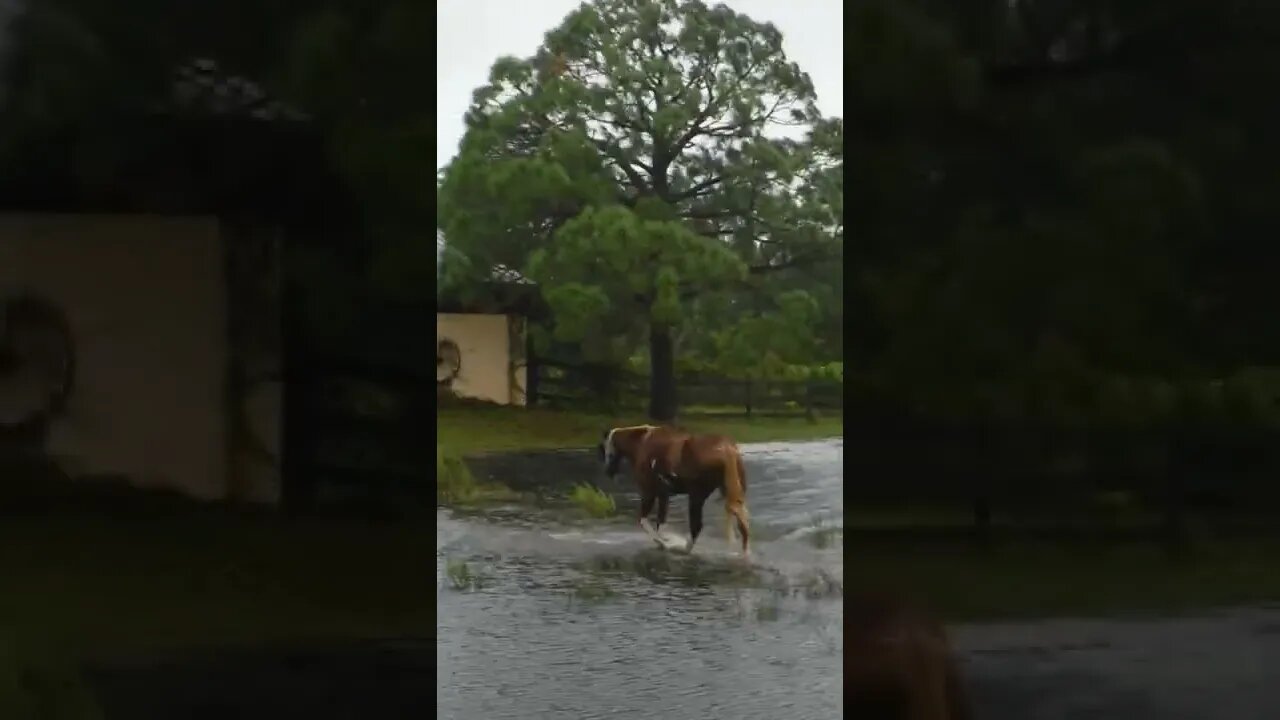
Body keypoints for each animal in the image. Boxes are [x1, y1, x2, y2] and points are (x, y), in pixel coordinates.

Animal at [597, 424, 750, 557]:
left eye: (605, 449)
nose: (607, 471)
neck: (642, 444)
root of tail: (727, 448)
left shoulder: (649, 493)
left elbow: (644, 521)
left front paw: (664, 543)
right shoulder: (664, 494)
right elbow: (660, 523)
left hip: (696, 496)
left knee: (696, 526)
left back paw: (682, 549)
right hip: (731, 494)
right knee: (743, 525)